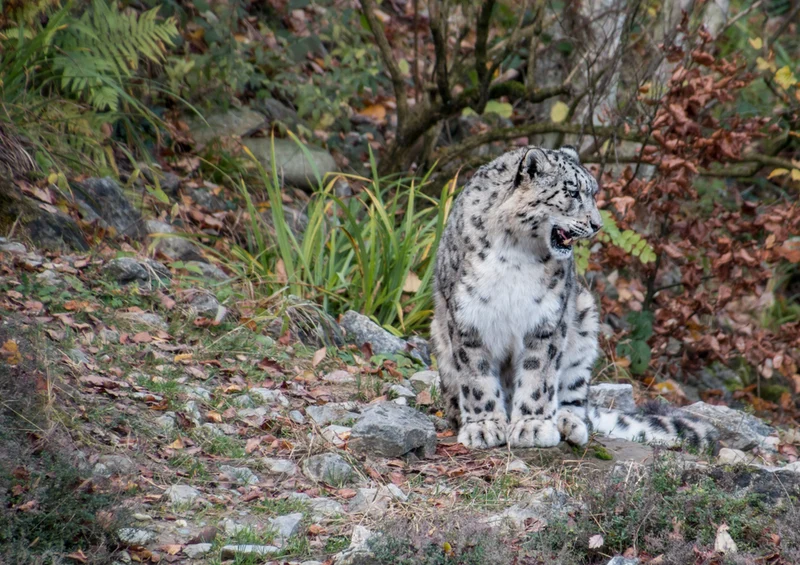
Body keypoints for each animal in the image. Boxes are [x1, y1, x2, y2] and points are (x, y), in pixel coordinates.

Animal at [431, 145, 717, 450]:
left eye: (593, 193)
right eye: (573, 192)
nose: (597, 225)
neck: (516, 252)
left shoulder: (547, 318)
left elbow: (539, 374)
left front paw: (533, 426)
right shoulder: (468, 316)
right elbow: (476, 376)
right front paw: (483, 427)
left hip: (584, 323)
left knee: (576, 397)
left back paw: (568, 423)